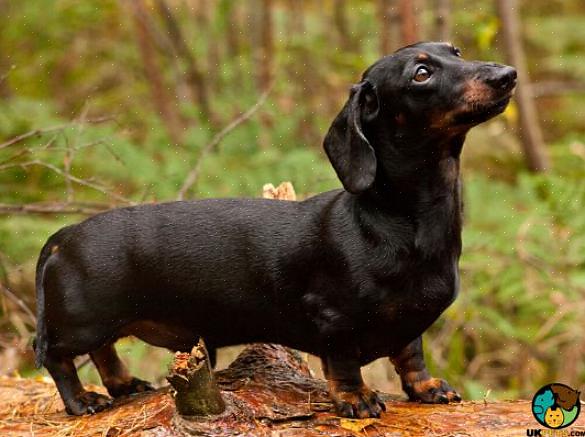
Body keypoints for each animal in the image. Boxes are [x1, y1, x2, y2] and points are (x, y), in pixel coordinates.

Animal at [33, 42, 516, 418]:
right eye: (421, 73)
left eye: (456, 51)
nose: (507, 75)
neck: (398, 220)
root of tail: (65, 235)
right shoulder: (334, 319)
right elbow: (344, 363)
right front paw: (355, 398)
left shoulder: (409, 320)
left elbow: (411, 353)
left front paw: (427, 388)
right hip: (82, 322)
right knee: (57, 356)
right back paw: (83, 401)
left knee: (103, 351)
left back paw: (125, 384)